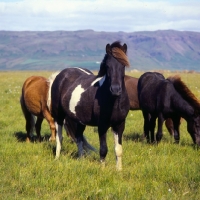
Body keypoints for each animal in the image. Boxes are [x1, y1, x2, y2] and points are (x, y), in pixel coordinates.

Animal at [50, 41, 130, 170]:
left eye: (123, 65)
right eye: (108, 66)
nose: (116, 89)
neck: (113, 101)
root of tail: (61, 74)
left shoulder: (119, 125)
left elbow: (118, 150)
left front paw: (119, 170)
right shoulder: (102, 126)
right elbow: (103, 150)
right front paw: (102, 170)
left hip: (79, 120)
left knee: (79, 138)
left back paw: (81, 160)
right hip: (59, 115)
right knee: (59, 137)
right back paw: (57, 158)